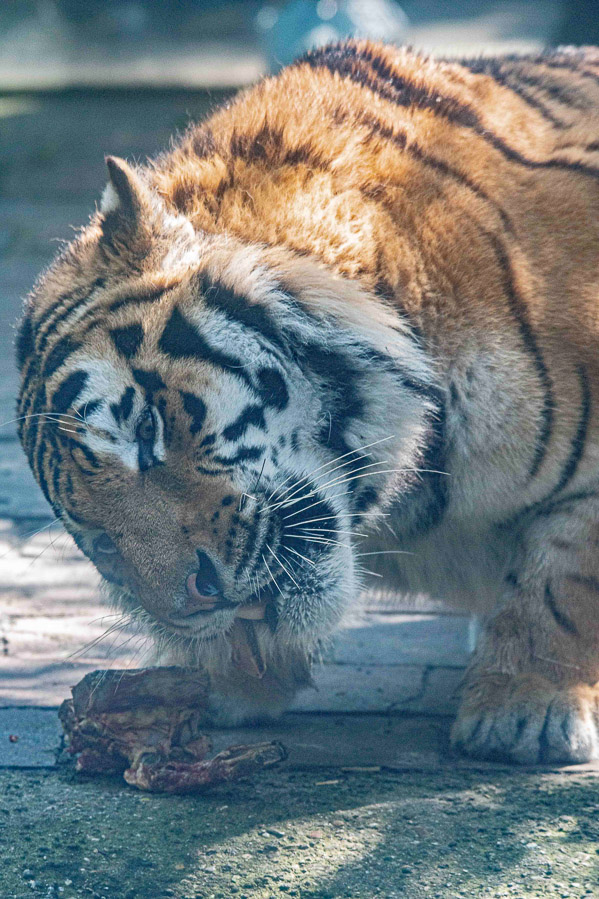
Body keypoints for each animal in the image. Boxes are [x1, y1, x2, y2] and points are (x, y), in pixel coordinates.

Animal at [15, 40, 599, 764]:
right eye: (99, 540)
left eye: (146, 430)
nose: (198, 599)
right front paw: (203, 677)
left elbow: (563, 578)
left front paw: (526, 710)